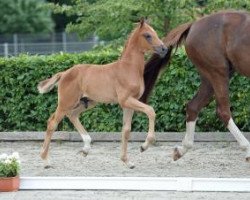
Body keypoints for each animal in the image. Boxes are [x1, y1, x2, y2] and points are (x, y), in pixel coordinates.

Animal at [38, 19, 167, 169]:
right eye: (147, 35)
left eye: (155, 33)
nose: (164, 49)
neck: (128, 68)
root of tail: (64, 73)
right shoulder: (126, 100)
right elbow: (150, 111)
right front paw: (144, 146)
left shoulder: (128, 104)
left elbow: (126, 130)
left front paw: (127, 161)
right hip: (66, 102)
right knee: (52, 122)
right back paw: (46, 160)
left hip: (88, 102)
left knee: (73, 115)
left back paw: (86, 148)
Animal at [141, 10, 250, 162]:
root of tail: (193, 25)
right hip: (218, 72)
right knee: (223, 111)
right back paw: (247, 149)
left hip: (210, 77)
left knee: (193, 106)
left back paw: (181, 149)